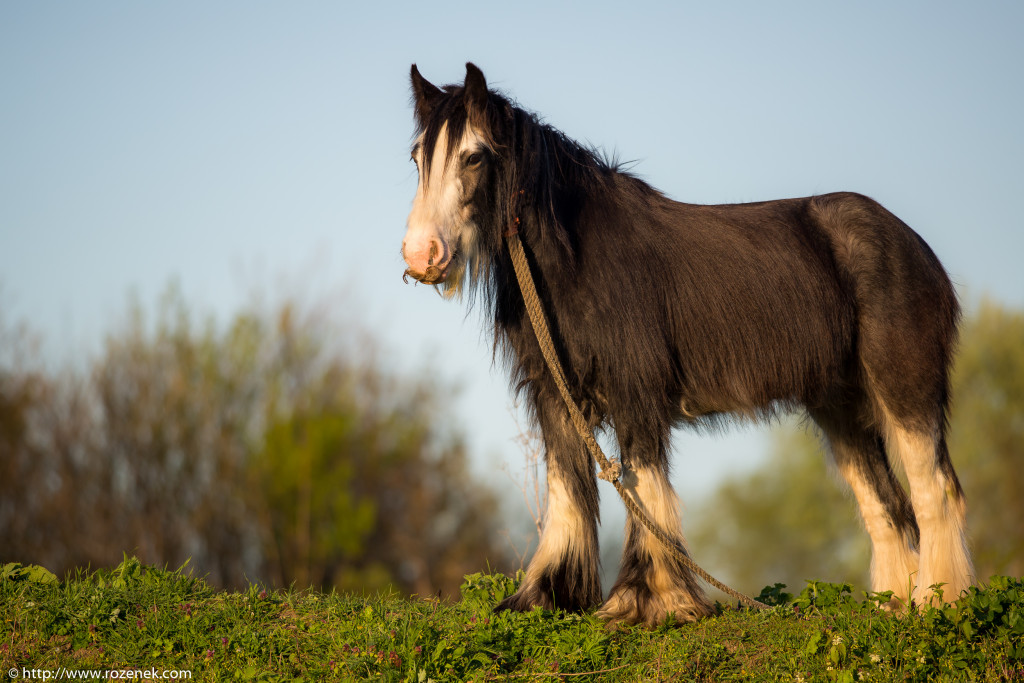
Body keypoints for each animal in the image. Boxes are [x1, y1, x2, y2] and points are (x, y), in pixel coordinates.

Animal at [395, 62, 970, 626]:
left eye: (473, 156)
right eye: (418, 157)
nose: (422, 256)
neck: (576, 261)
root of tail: (914, 245)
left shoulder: (636, 392)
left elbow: (645, 485)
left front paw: (650, 603)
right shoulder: (556, 396)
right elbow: (567, 490)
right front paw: (545, 596)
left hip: (903, 388)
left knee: (934, 492)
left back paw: (937, 602)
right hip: (841, 407)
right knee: (886, 508)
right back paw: (893, 608)